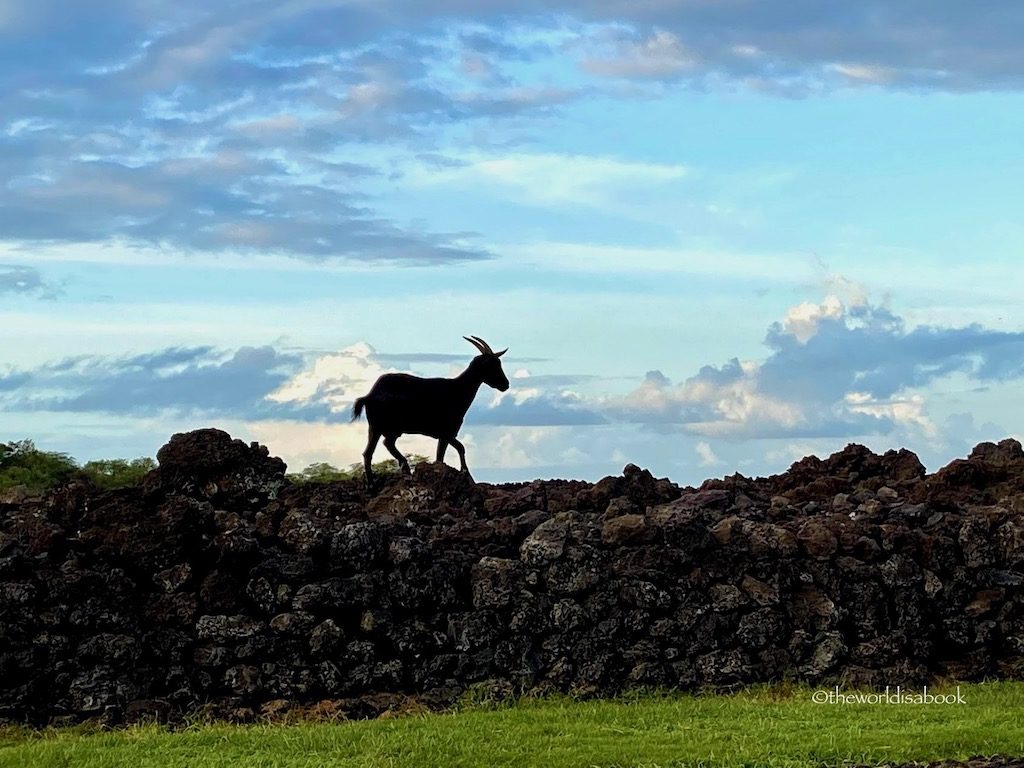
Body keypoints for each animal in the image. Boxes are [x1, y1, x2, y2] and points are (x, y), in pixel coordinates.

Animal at [354, 335, 509, 487]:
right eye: (492, 364)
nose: (505, 384)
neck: (458, 390)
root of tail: (369, 396)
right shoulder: (446, 432)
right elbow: (457, 449)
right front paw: (467, 475)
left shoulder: (444, 434)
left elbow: (444, 455)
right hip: (387, 427)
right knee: (380, 447)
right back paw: (381, 479)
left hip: (376, 428)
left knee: (373, 450)